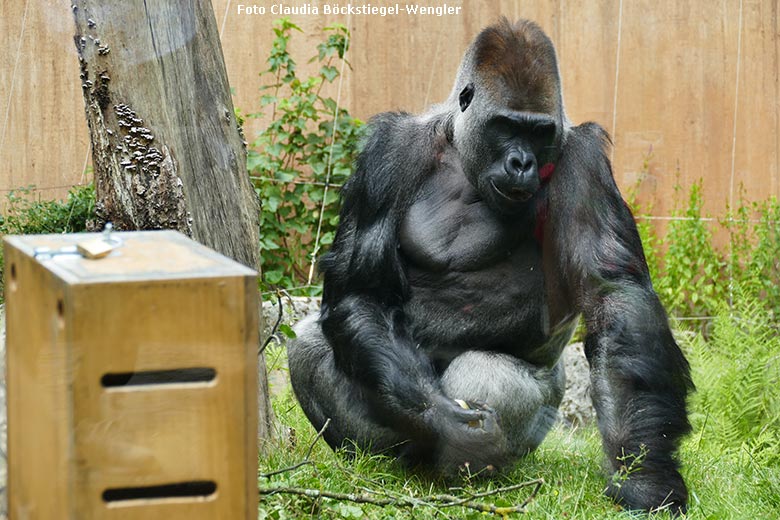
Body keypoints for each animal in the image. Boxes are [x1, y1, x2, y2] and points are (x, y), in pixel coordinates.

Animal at [288, 18, 696, 512]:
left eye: (539, 132)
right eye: (506, 126)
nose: (521, 162)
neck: (463, 150)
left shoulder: (584, 161)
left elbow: (615, 296)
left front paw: (645, 475)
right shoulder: (390, 151)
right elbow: (362, 289)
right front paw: (443, 421)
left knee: (489, 372)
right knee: (310, 343)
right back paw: (387, 456)